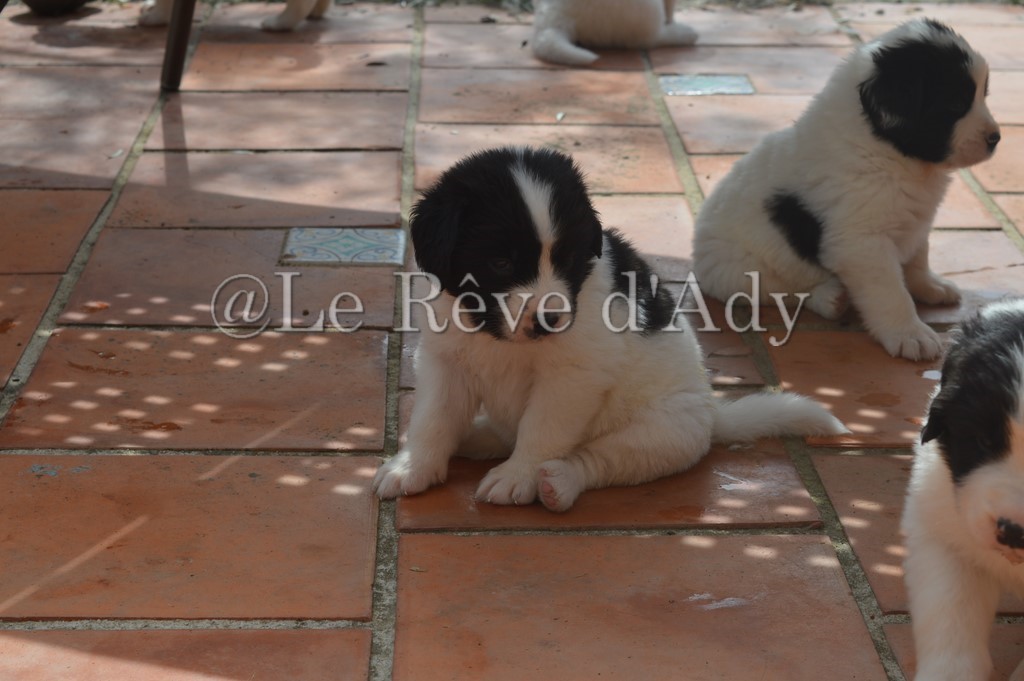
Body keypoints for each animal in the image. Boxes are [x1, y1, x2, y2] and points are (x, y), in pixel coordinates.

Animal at [374, 146, 845, 511]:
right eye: (501, 262)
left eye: (566, 259)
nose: (550, 319)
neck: (496, 333)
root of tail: (713, 417)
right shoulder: (445, 360)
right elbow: (433, 419)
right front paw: (413, 467)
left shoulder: (572, 378)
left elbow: (542, 429)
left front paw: (519, 476)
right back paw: (474, 438)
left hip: (661, 433)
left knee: (597, 461)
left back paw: (557, 484)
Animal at [692, 19, 1000, 361]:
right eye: (955, 104)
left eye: (984, 94)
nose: (996, 138)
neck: (886, 151)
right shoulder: (861, 242)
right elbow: (890, 291)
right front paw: (910, 333)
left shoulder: (917, 220)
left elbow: (919, 257)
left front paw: (930, 286)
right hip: (739, 272)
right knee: (783, 291)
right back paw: (831, 297)